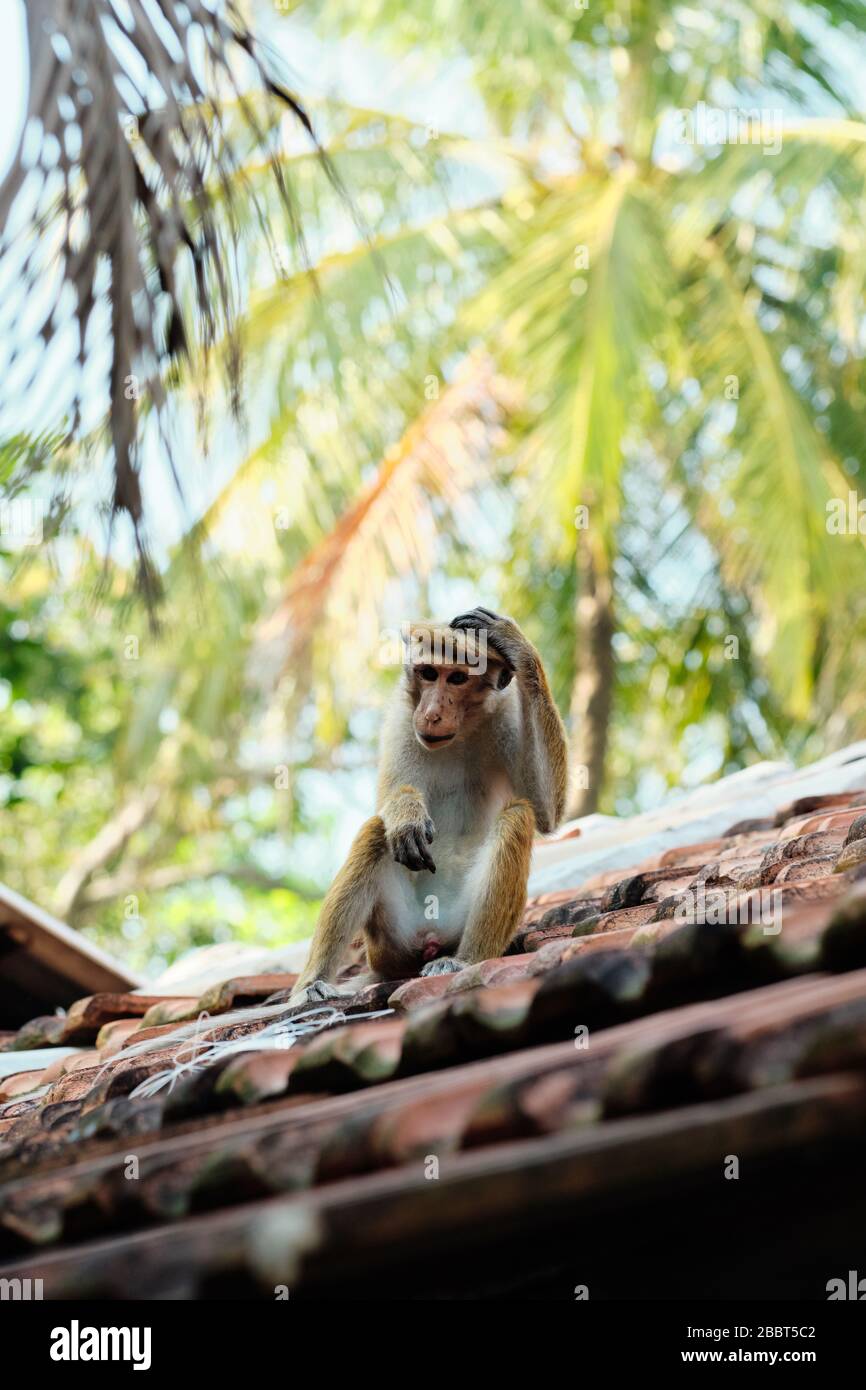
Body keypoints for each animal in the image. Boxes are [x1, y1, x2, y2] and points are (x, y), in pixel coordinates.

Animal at [291, 606, 568, 1003]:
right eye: (428, 673)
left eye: (457, 678)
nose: (432, 712)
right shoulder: (403, 715)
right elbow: (388, 804)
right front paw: (407, 816)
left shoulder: (507, 710)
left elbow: (545, 811)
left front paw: (518, 645)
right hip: (390, 939)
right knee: (376, 830)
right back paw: (311, 984)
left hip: (455, 925)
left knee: (519, 815)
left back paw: (467, 960)